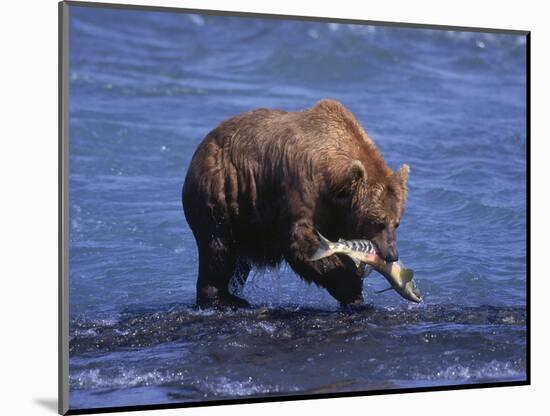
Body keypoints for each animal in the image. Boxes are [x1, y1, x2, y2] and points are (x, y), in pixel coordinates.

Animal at [183, 100, 412, 308]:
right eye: (378, 222)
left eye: (397, 222)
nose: (392, 255)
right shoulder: (301, 187)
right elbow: (300, 240)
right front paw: (351, 287)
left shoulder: (336, 214)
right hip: (221, 193)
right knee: (218, 248)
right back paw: (221, 299)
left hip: (246, 220)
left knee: (238, 261)